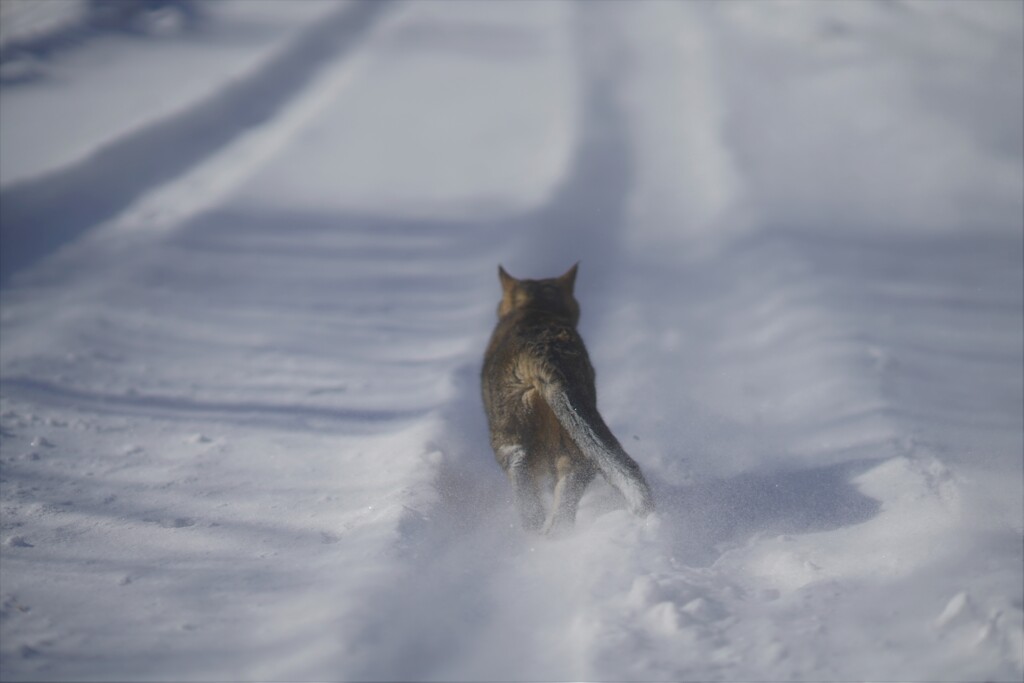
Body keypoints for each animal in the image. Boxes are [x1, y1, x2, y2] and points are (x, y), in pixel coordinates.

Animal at [481, 264, 655, 532]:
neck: (535, 309)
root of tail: (545, 353)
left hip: (508, 434)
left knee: (524, 477)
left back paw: (536, 530)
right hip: (571, 437)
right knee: (568, 486)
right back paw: (557, 532)